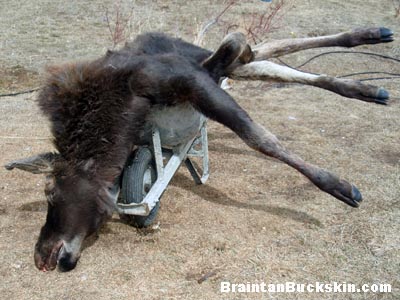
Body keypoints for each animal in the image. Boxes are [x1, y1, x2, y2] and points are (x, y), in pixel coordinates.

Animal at [6, 27, 394, 272]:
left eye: (49, 191)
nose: (41, 255)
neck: (121, 113)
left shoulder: (188, 79)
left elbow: (259, 137)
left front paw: (339, 186)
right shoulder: (198, 78)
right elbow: (245, 59)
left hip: (204, 64)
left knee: (255, 53)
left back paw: (368, 42)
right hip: (216, 66)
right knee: (264, 57)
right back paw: (366, 84)